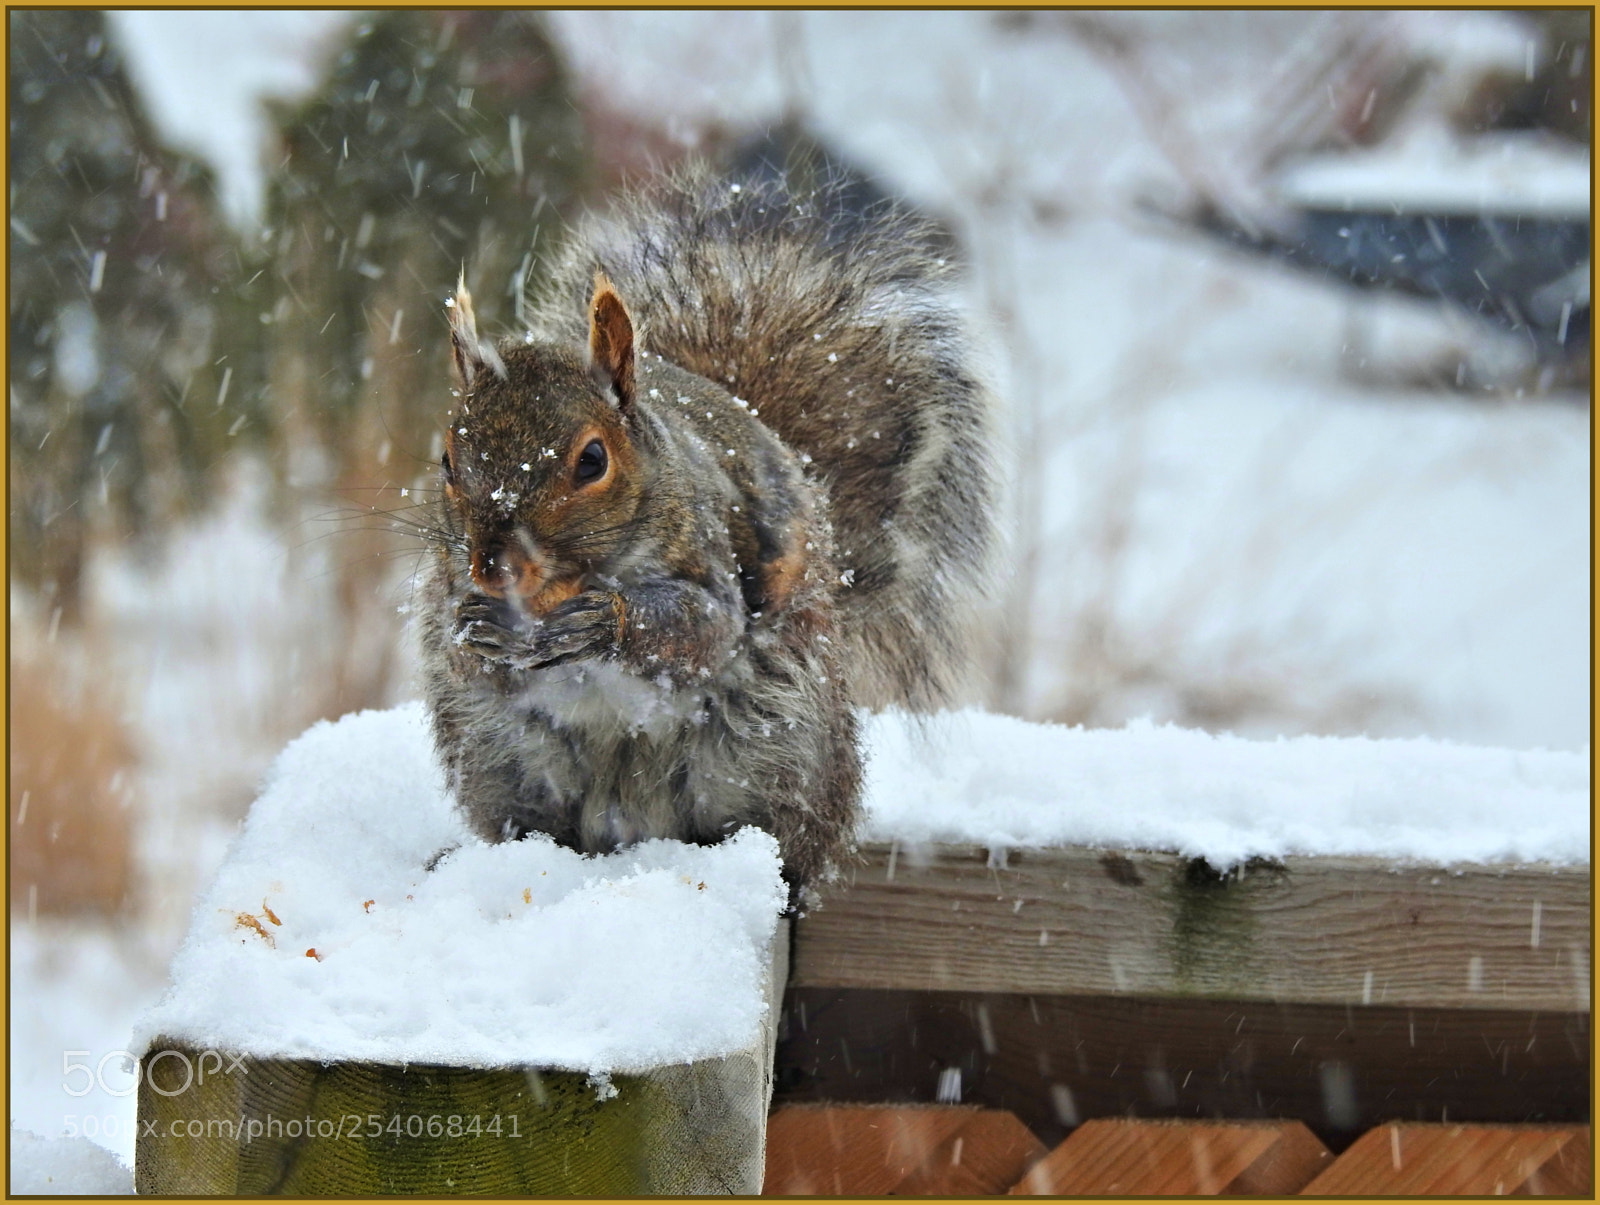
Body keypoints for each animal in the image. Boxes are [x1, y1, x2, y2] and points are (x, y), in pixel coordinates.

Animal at [417, 165, 995, 896]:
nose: (493, 568)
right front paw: (478, 629)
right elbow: (463, 651)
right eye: (446, 460)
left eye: (592, 460)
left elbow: (703, 629)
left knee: (793, 839)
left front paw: (603, 621)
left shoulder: (712, 554)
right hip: (499, 754)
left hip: (777, 749)